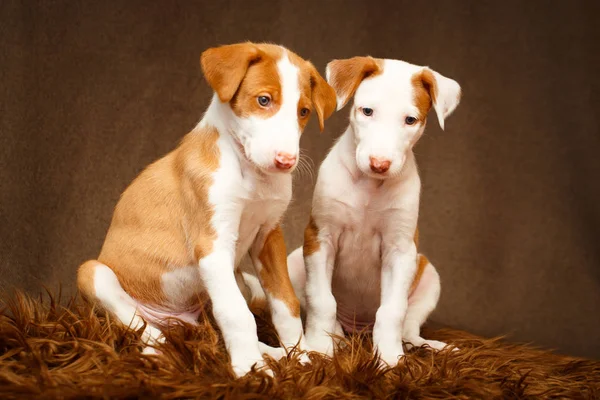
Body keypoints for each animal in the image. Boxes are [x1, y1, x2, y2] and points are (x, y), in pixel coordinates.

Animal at [77, 42, 338, 376]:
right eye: (263, 100)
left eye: (303, 112)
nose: (286, 161)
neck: (251, 175)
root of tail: (178, 323)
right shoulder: (213, 245)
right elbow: (237, 314)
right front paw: (251, 370)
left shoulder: (268, 237)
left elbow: (285, 303)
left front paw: (300, 355)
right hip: (94, 274)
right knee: (140, 325)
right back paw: (157, 353)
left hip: (232, 286)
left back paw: (272, 353)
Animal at [288, 55, 462, 366]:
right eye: (367, 111)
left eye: (410, 120)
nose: (379, 164)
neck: (370, 187)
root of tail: (359, 331)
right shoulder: (320, 238)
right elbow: (322, 301)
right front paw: (320, 349)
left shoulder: (401, 250)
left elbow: (392, 311)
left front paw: (390, 359)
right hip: (296, 259)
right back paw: (338, 341)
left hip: (428, 274)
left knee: (409, 328)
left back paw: (427, 346)